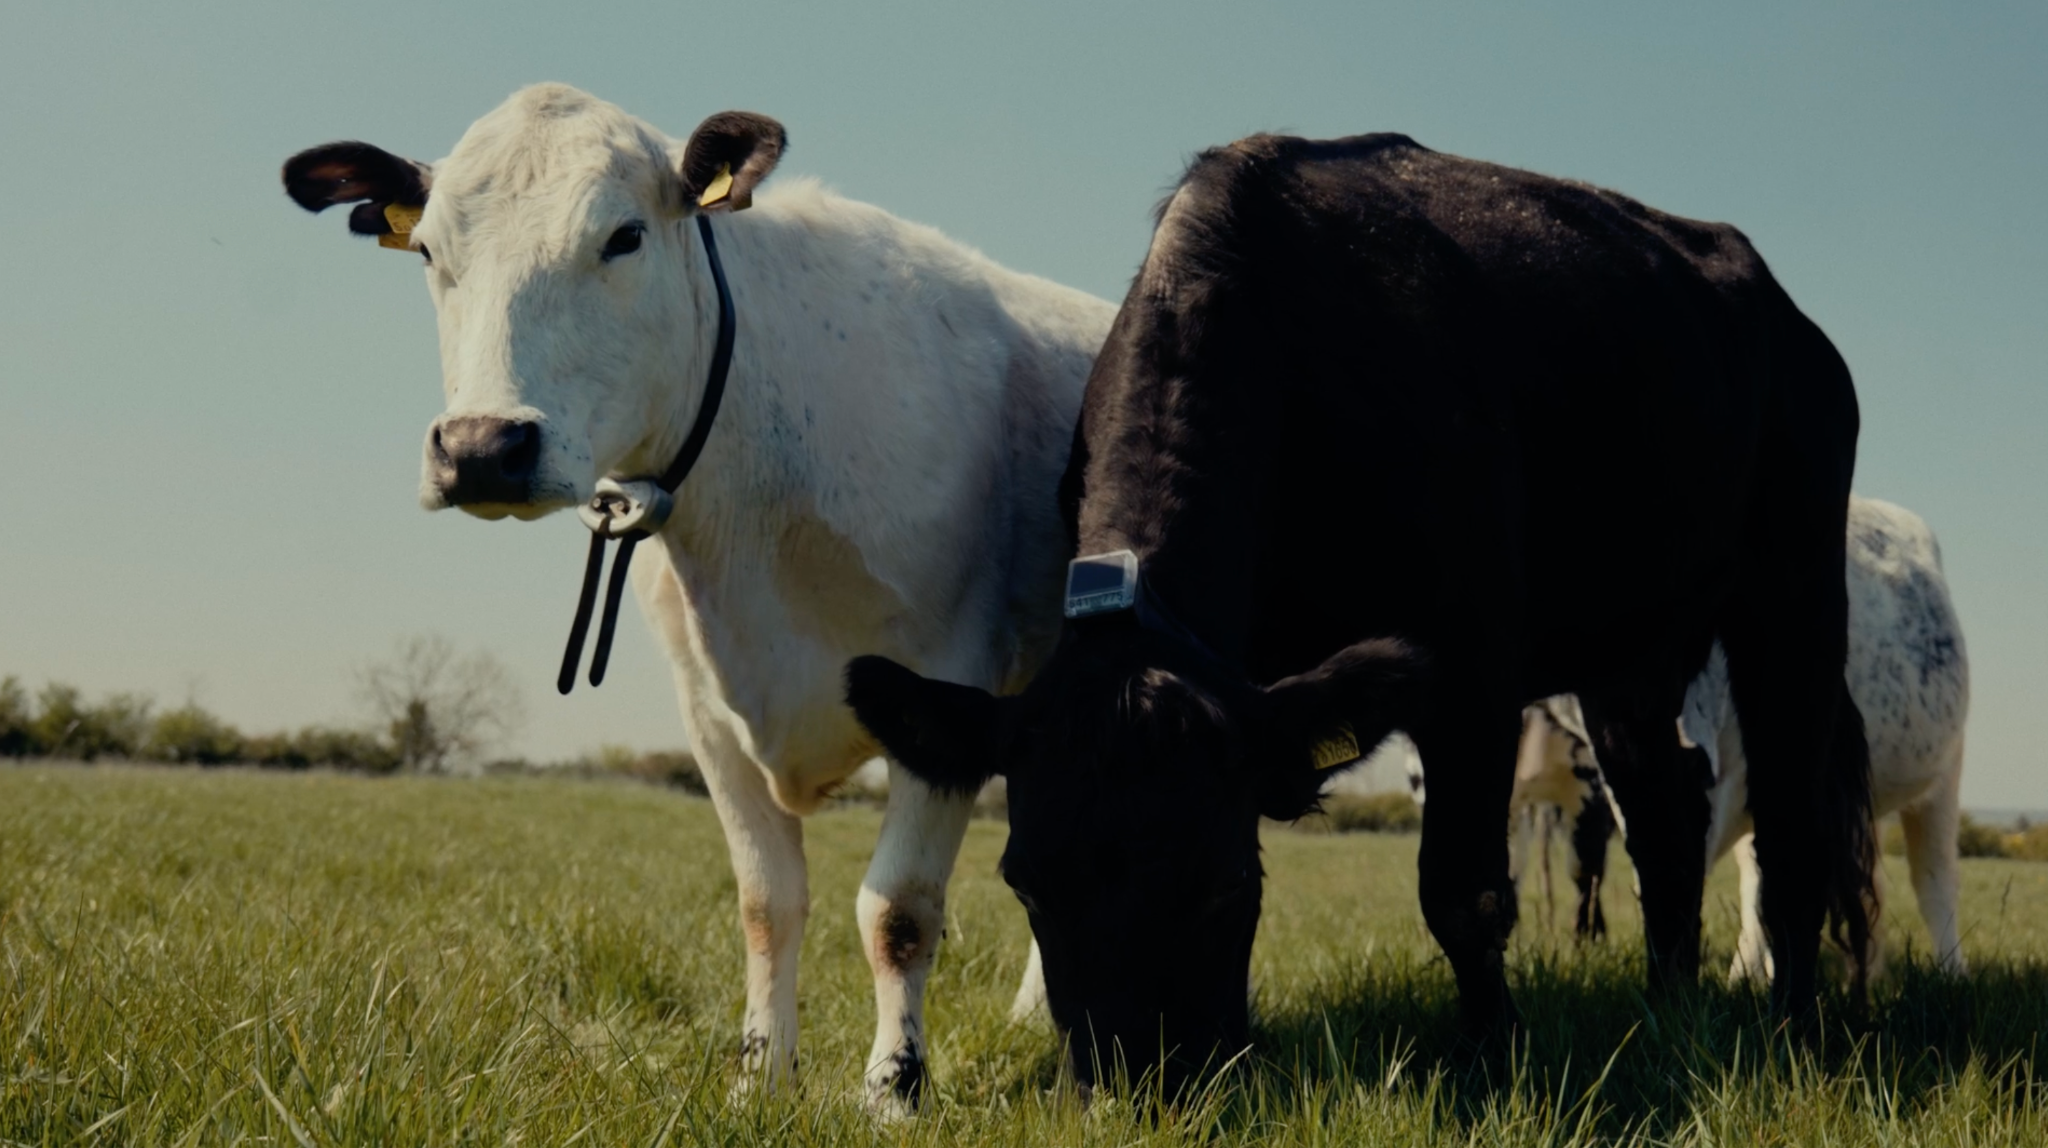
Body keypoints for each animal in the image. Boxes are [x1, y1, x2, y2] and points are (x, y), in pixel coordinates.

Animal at [281, 83, 1116, 1112]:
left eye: (624, 236)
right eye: (433, 251)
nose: (480, 447)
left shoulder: (946, 685)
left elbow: (898, 912)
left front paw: (892, 1089)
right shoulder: (709, 715)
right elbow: (767, 903)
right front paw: (761, 1077)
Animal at [846, 129, 1874, 1093]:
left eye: (1228, 882)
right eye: (1024, 882)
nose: (1134, 1087)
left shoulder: (1474, 662)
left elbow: (1465, 892)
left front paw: (1493, 1060)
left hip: (1796, 585)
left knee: (1792, 827)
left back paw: (1798, 1032)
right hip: (1631, 652)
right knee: (1666, 813)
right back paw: (1668, 1012)